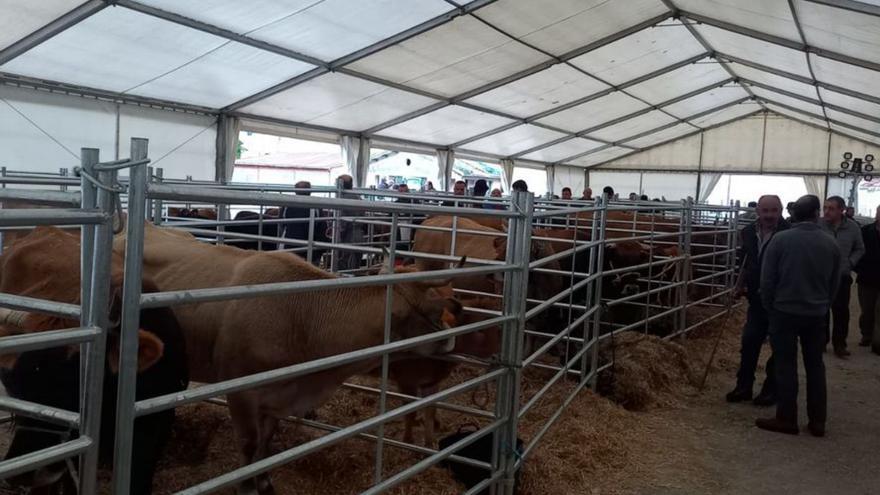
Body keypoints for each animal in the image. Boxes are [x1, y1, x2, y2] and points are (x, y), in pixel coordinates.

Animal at [113, 226, 460, 495]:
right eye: (430, 309)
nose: (451, 337)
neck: (302, 317)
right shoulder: (240, 391)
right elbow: (250, 442)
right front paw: (246, 486)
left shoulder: (277, 396)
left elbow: (266, 443)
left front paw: (265, 481)